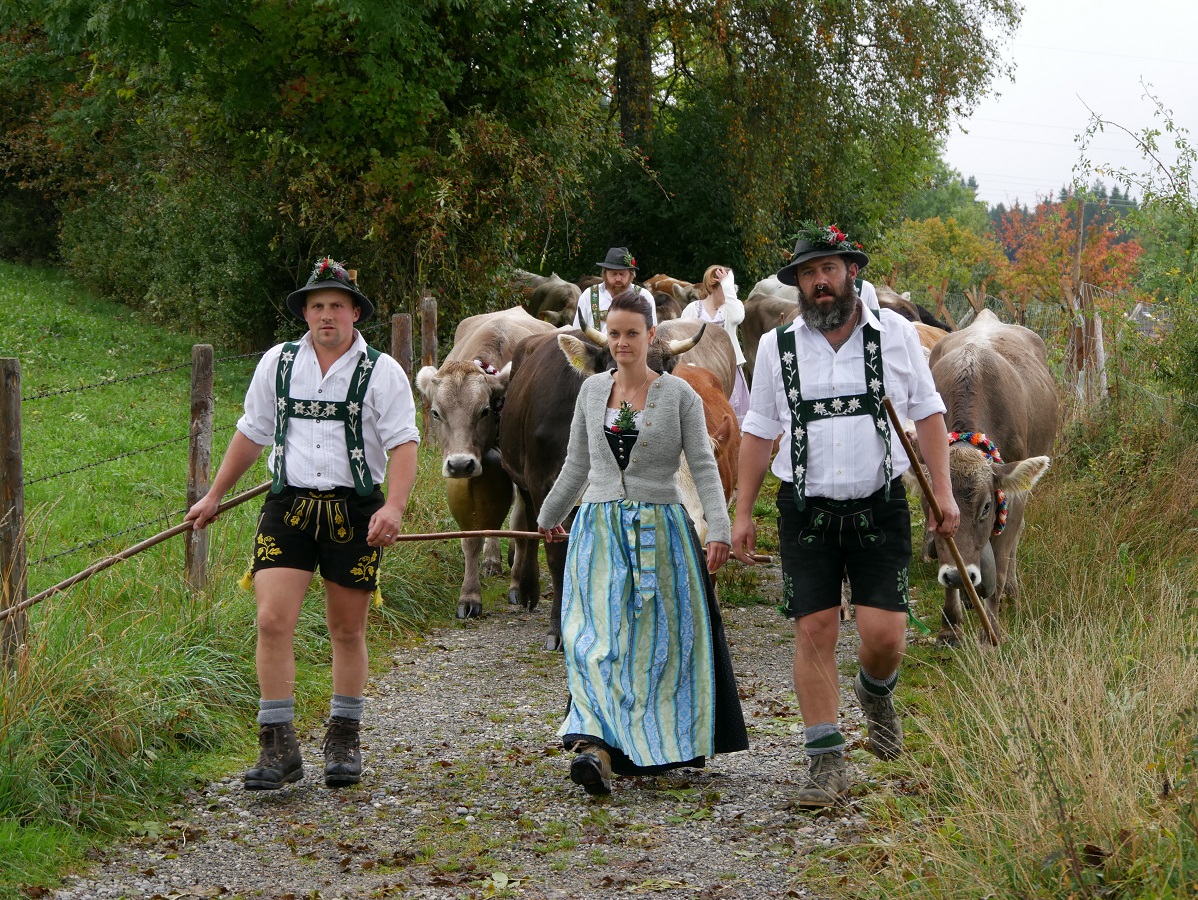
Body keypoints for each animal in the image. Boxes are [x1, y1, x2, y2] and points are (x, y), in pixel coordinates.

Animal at [416, 309, 555, 618]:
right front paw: (469, 596)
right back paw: (492, 559)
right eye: (436, 412)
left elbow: (520, 526)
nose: (459, 465)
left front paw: (517, 584)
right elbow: (472, 536)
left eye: (484, 410)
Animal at [910, 309, 1054, 647]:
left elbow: (999, 561)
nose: (955, 575)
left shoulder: (1012, 496)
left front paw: (991, 631)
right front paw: (950, 626)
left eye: (987, 506)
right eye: (930, 506)